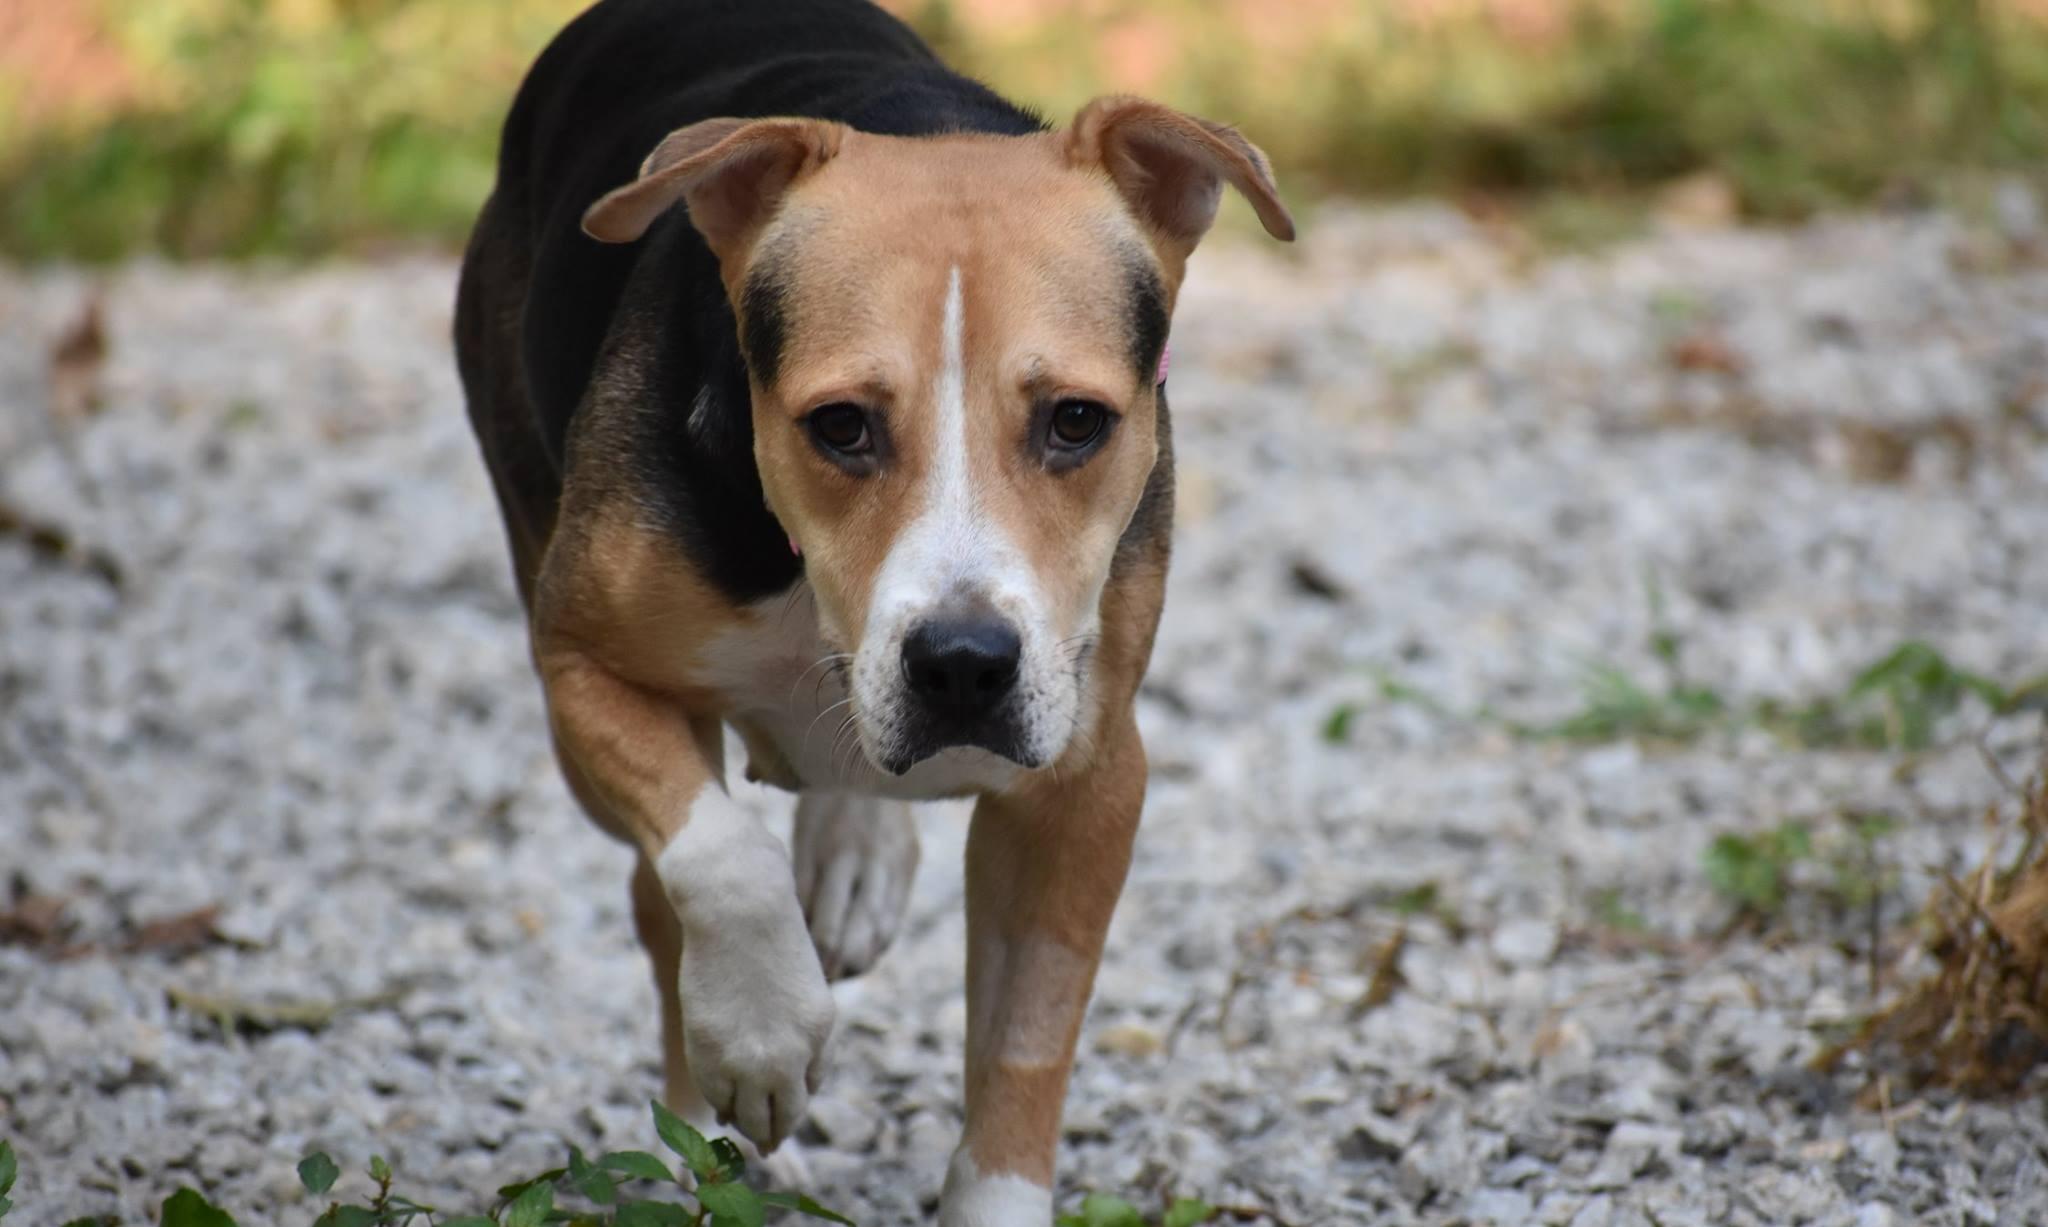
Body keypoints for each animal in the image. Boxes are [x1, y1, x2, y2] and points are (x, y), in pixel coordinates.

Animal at [460, 0, 1294, 1220]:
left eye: (1077, 422)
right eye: (841, 425)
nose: (962, 663)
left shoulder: (1087, 776)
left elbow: (1026, 1038)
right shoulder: (581, 666)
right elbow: (716, 853)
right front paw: (761, 1031)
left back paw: (854, 854)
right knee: (661, 898)